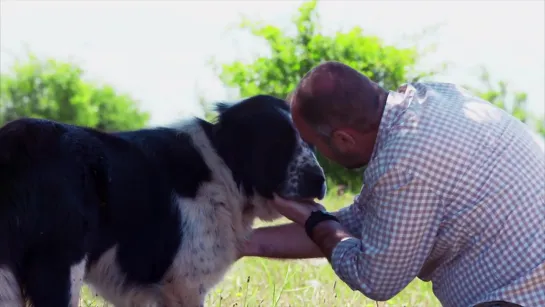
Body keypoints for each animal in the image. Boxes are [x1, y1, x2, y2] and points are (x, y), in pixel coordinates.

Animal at [0, 95, 326, 306]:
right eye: (277, 141)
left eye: (310, 142)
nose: (319, 179)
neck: (221, 168)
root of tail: (18, 142)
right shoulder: (185, 287)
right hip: (60, 271)